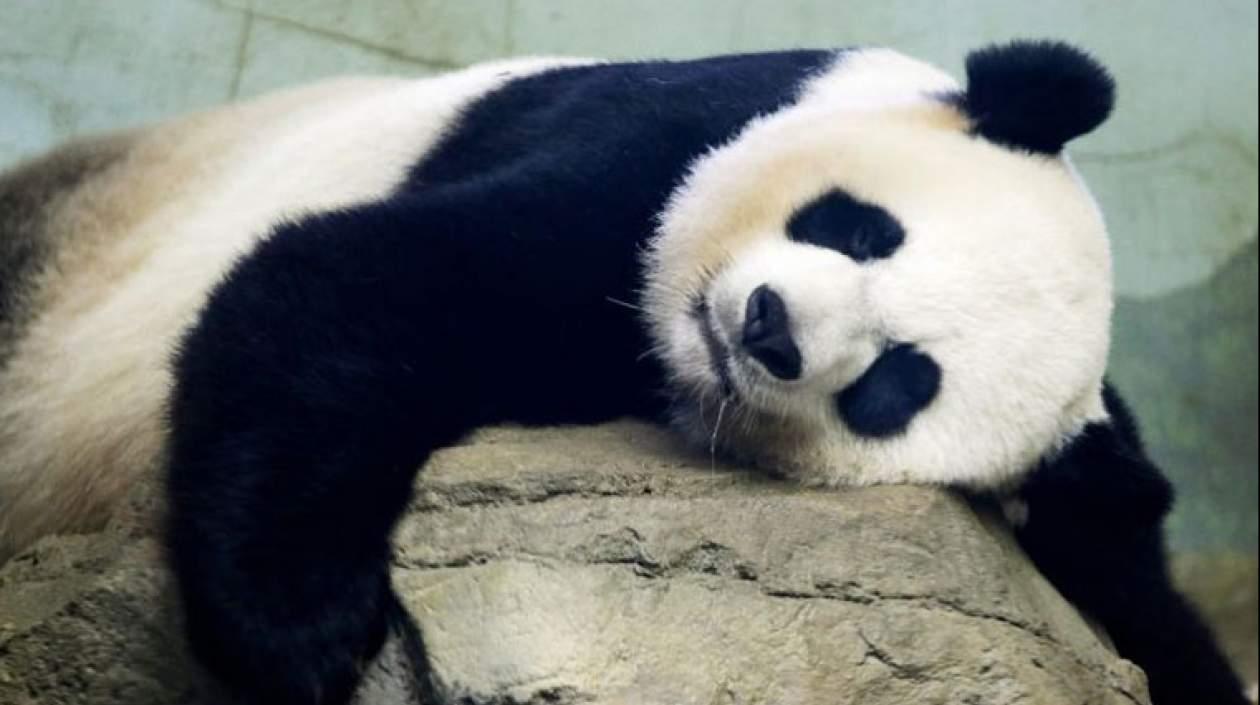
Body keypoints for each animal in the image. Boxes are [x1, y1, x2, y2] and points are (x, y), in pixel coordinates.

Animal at [0, 40, 1247, 705]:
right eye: (860, 230)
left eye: (898, 384)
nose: (766, 328)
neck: (658, 353)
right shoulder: (657, 144)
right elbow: (352, 278)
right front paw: (301, 633)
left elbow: (1134, 576)